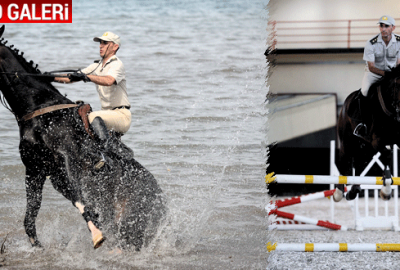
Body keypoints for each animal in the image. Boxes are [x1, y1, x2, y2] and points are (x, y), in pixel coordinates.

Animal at [0, 25, 164, 251]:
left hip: (132, 226)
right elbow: (31, 215)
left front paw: (97, 235)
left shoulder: (66, 160)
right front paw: (37, 246)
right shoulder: (36, 169)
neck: (39, 108)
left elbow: (79, 198)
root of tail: (163, 206)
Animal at [332, 66, 400, 202]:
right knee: (344, 162)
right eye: (398, 85)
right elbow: (387, 156)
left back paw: (354, 191)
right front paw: (386, 191)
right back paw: (339, 192)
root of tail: (345, 104)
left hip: (365, 147)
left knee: (360, 163)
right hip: (347, 143)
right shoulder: (377, 142)